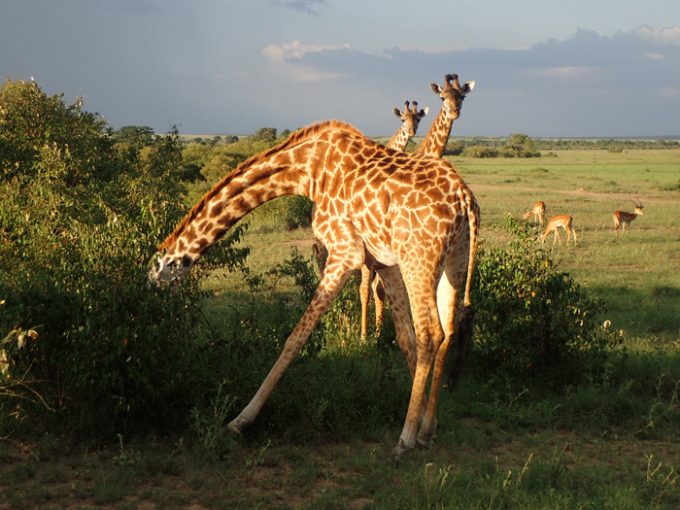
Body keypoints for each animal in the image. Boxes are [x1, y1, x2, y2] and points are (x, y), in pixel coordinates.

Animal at [150, 120, 478, 458]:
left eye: (155, 279)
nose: (157, 309)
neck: (306, 170)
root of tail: (464, 198)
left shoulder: (346, 252)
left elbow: (296, 337)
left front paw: (239, 421)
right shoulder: (384, 262)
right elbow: (404, 338)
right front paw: (430, 423)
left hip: (419, 259)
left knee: (431, 333)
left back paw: (405, 439)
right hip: (453, 259)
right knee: (447, 330)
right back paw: (423, 431)